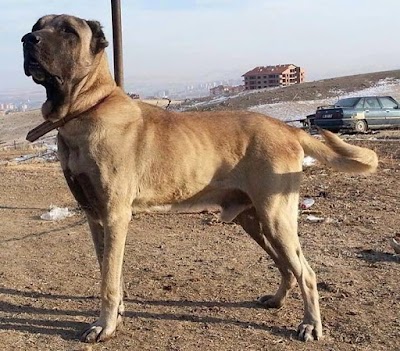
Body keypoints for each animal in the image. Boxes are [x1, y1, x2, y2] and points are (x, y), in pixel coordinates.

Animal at [21, 15, 378, 346]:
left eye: (68, 30)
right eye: (37, 25)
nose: (27, 39)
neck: (85, 108)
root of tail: (287, 129)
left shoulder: (114, 215)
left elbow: (108, 280)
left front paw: (104, 326)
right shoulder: (94, 216)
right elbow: (109, 271)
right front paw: (117, 313)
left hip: (276, 217)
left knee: (307, 272)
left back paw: (311, 324)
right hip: (254, 220)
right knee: (286, 266)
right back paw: (277, 300)